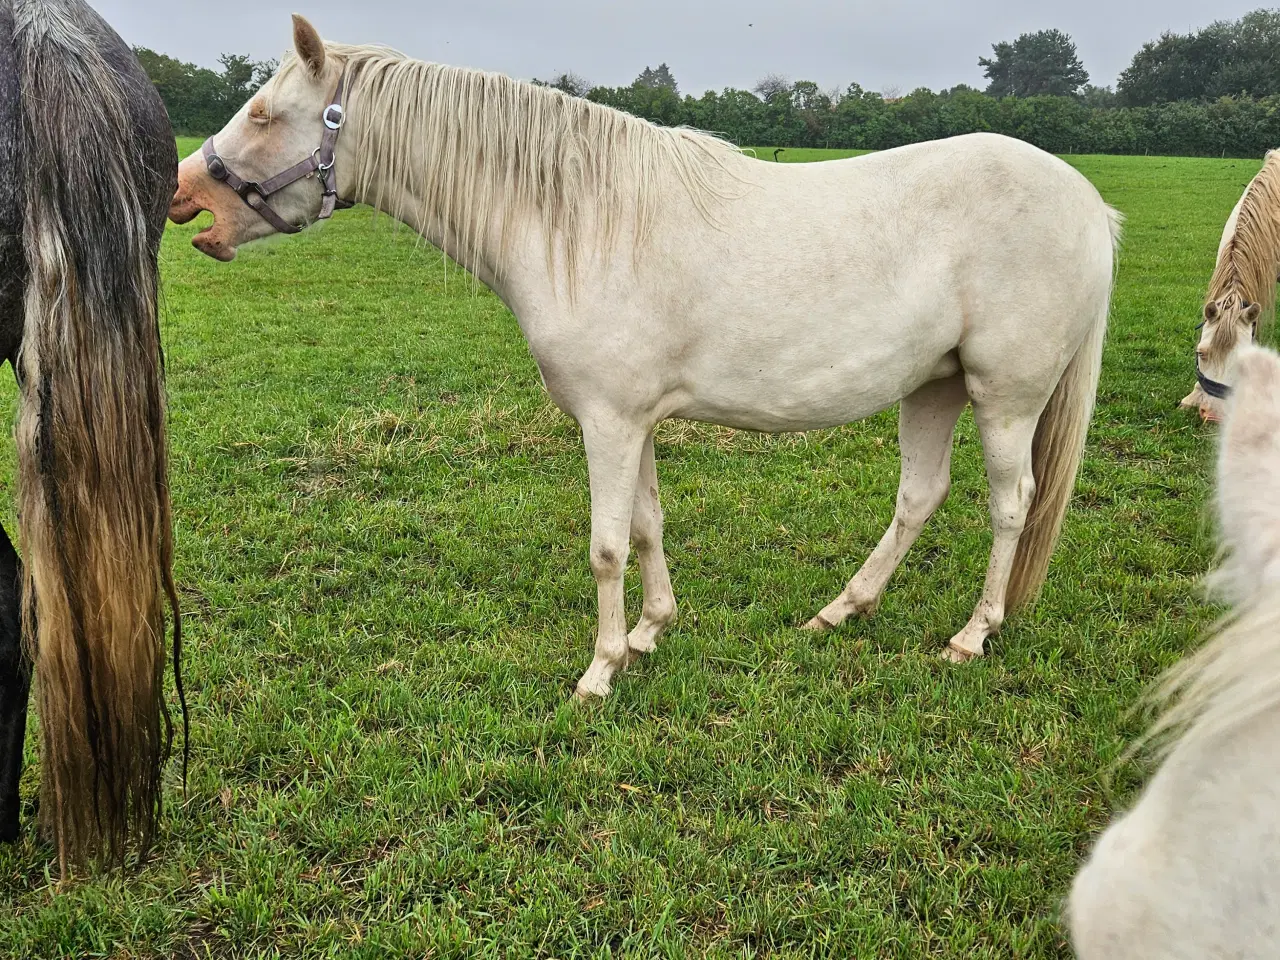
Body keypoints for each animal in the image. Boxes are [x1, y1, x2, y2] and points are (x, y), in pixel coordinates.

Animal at [167, 16, 1121, 701]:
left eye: (263, 114)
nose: (180, 191)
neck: (577, 222)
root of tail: (1088, 202)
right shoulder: (636, 421)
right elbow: (649, 526)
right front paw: (650, 633)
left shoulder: (609, 422)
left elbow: (605, 546)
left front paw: (598, 672)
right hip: (934, 387)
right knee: (920, 498)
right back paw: (841, 611)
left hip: (1005, 396)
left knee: (1012, 504)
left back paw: (972, 634)